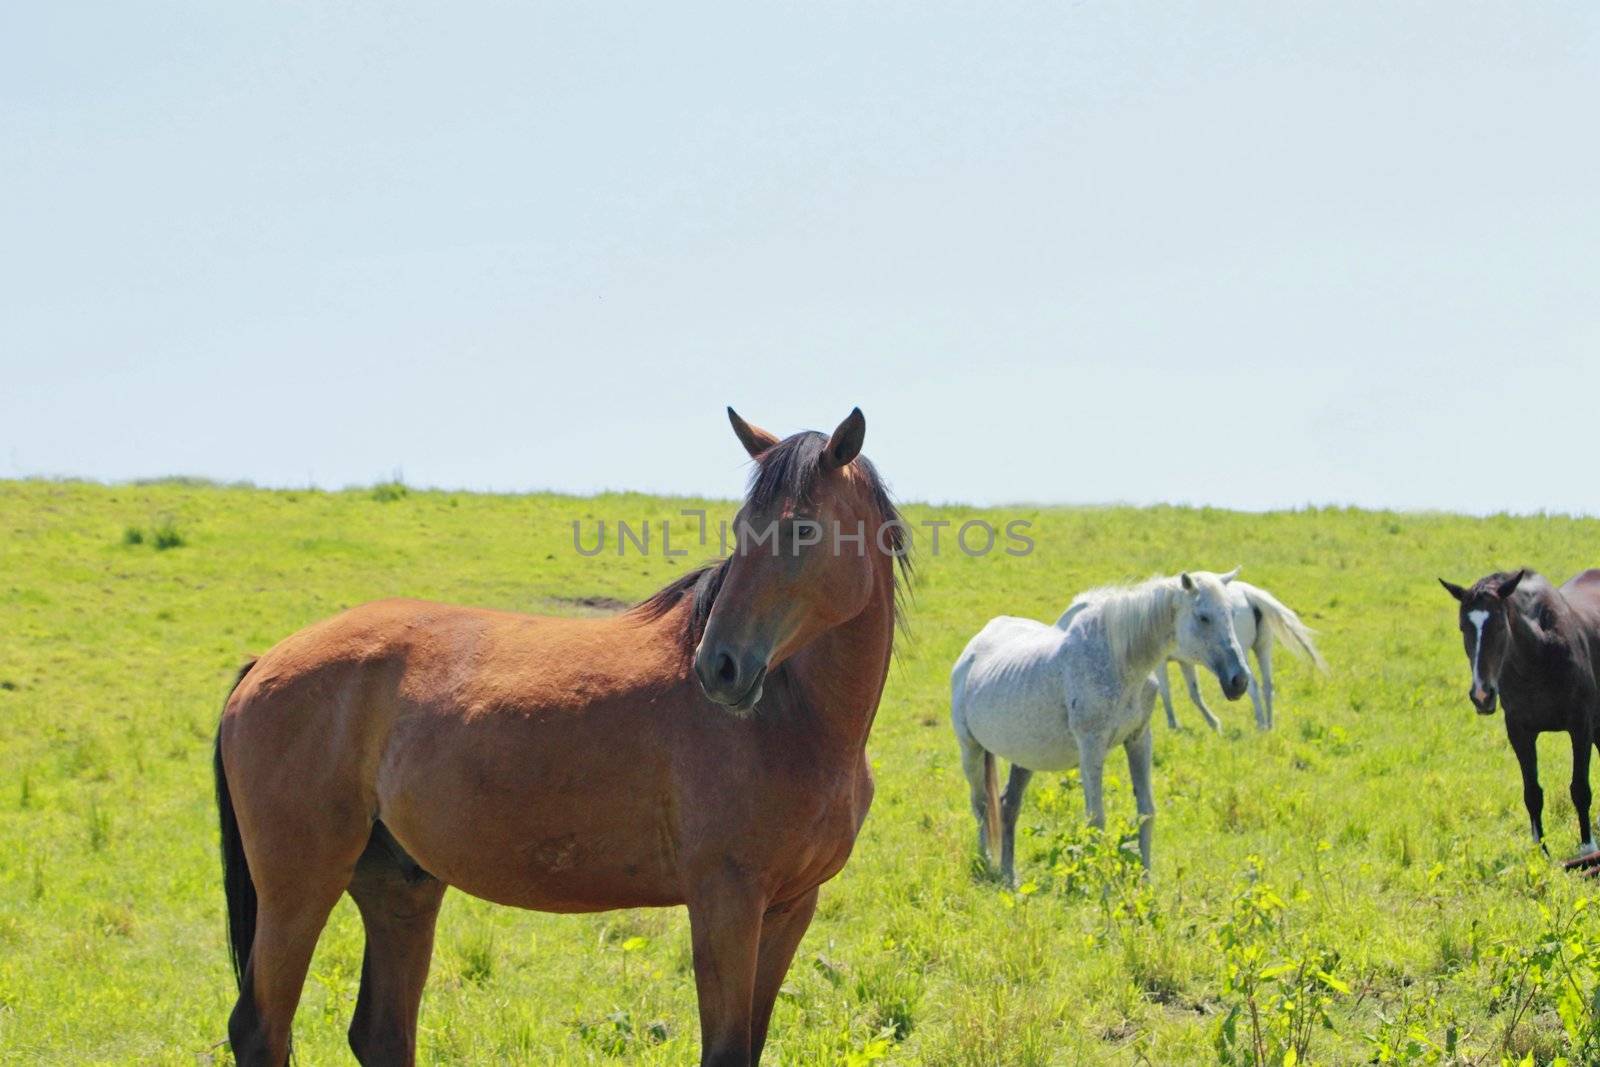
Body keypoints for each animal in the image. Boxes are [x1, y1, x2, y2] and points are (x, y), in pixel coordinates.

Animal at [947, 566, 1248, 883]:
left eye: (1231, 614)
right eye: (1203, 617)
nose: (1239, 681)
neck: (1120, 660)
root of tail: (971, 651)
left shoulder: (1139, 740)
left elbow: (1146, 811)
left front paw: (1145, 880)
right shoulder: (1091, 747)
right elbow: (1096, 819)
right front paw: (1101, 885)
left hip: (1024, 758)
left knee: (1008, 806)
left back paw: (1009, 875)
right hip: (970, 749)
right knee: (981, 805)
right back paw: (986, 863)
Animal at [1158, 575, 1331, 735]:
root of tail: (1250, 595)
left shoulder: (1162, 663)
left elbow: (1165, 690)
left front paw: (1173, 724)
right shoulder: (1185, 661)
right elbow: (1195, 693)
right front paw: (1213, 724)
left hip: (1242, 655)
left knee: (1252, 685)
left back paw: (1261, 725)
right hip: (1263, 647)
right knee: (1267, 685)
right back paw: (1270, 726)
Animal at [1440, 566, 1600, 857]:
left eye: (1500, 625)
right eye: (1462, 628)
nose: (1482, 695)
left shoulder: (1580, 726)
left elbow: (1580, 788)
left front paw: (1587, 848)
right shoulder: (1519, 732)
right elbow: (1532, 794)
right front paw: (1541, 852)